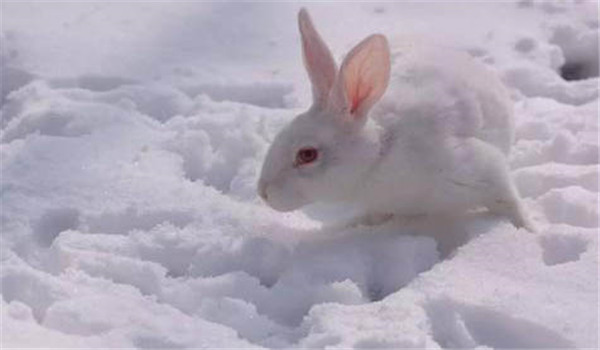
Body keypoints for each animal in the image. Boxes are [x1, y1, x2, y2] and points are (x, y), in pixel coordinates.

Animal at [258, 8, 536, 231]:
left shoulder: (482, 169)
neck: (379, 155)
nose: (262, 192)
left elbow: (509, 202)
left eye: (307, 155)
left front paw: (528, 230)